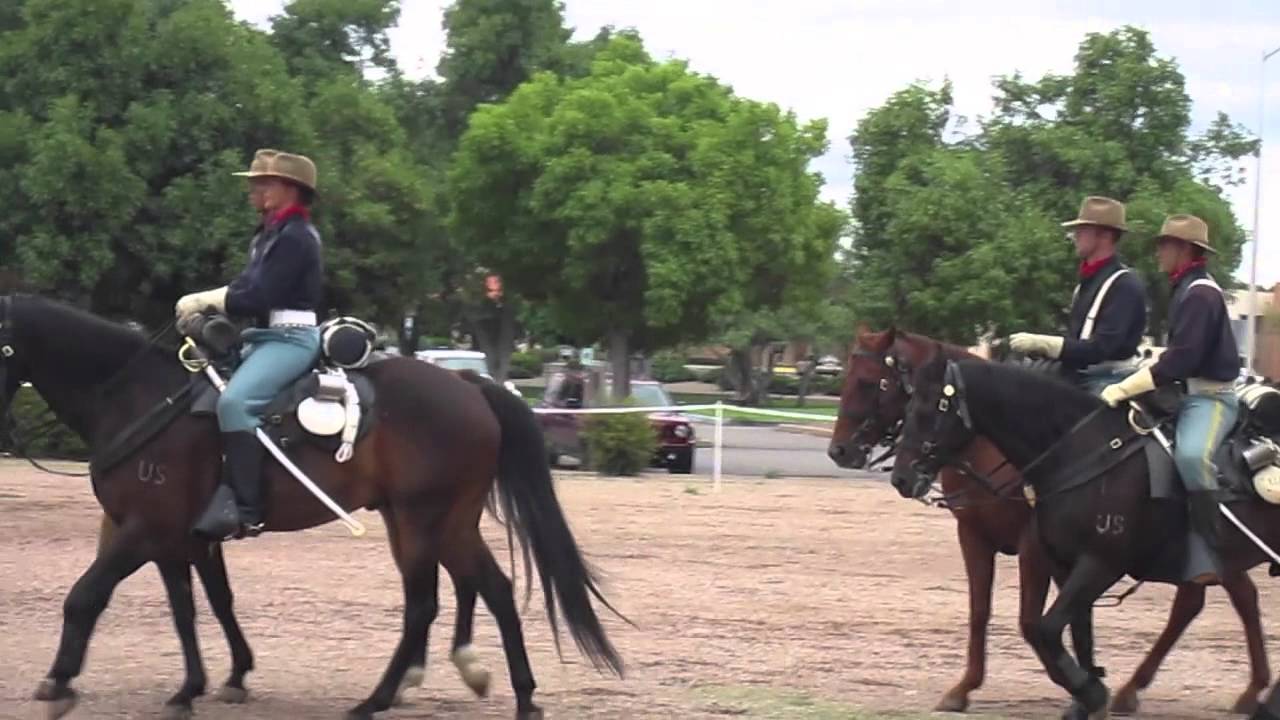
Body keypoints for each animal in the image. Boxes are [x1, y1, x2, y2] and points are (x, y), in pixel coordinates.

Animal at [0, 294, 623, 720]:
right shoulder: (162, 535)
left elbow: (86, 596)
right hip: (440, 522)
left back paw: (377, 699)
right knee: (490, 587)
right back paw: (517, 694)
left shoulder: (144, 530)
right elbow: (195, 606)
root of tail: (471, 384)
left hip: (424, 520)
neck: (139, 398)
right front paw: (202, 684)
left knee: (426, 604)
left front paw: (58, 684)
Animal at [827, 328, 1269, 716]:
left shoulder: (1040, 549)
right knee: (1232, 599)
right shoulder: (977, 536)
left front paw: (1083, 687)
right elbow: (985, 611)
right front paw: (965, 688)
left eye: (870, 383)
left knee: (1208, 601)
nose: (839, 451)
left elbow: (1034, 620)